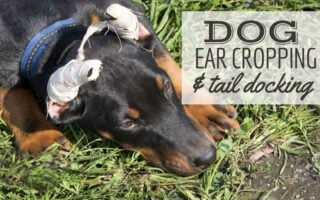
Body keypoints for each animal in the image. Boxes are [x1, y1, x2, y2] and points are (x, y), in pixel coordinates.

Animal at [0, 0, 240, 175]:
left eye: (166, 87)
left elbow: (163, 57)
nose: (207, 157)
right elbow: (11, 94)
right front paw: (42, 139)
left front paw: (208, 111)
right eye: (127, 124)